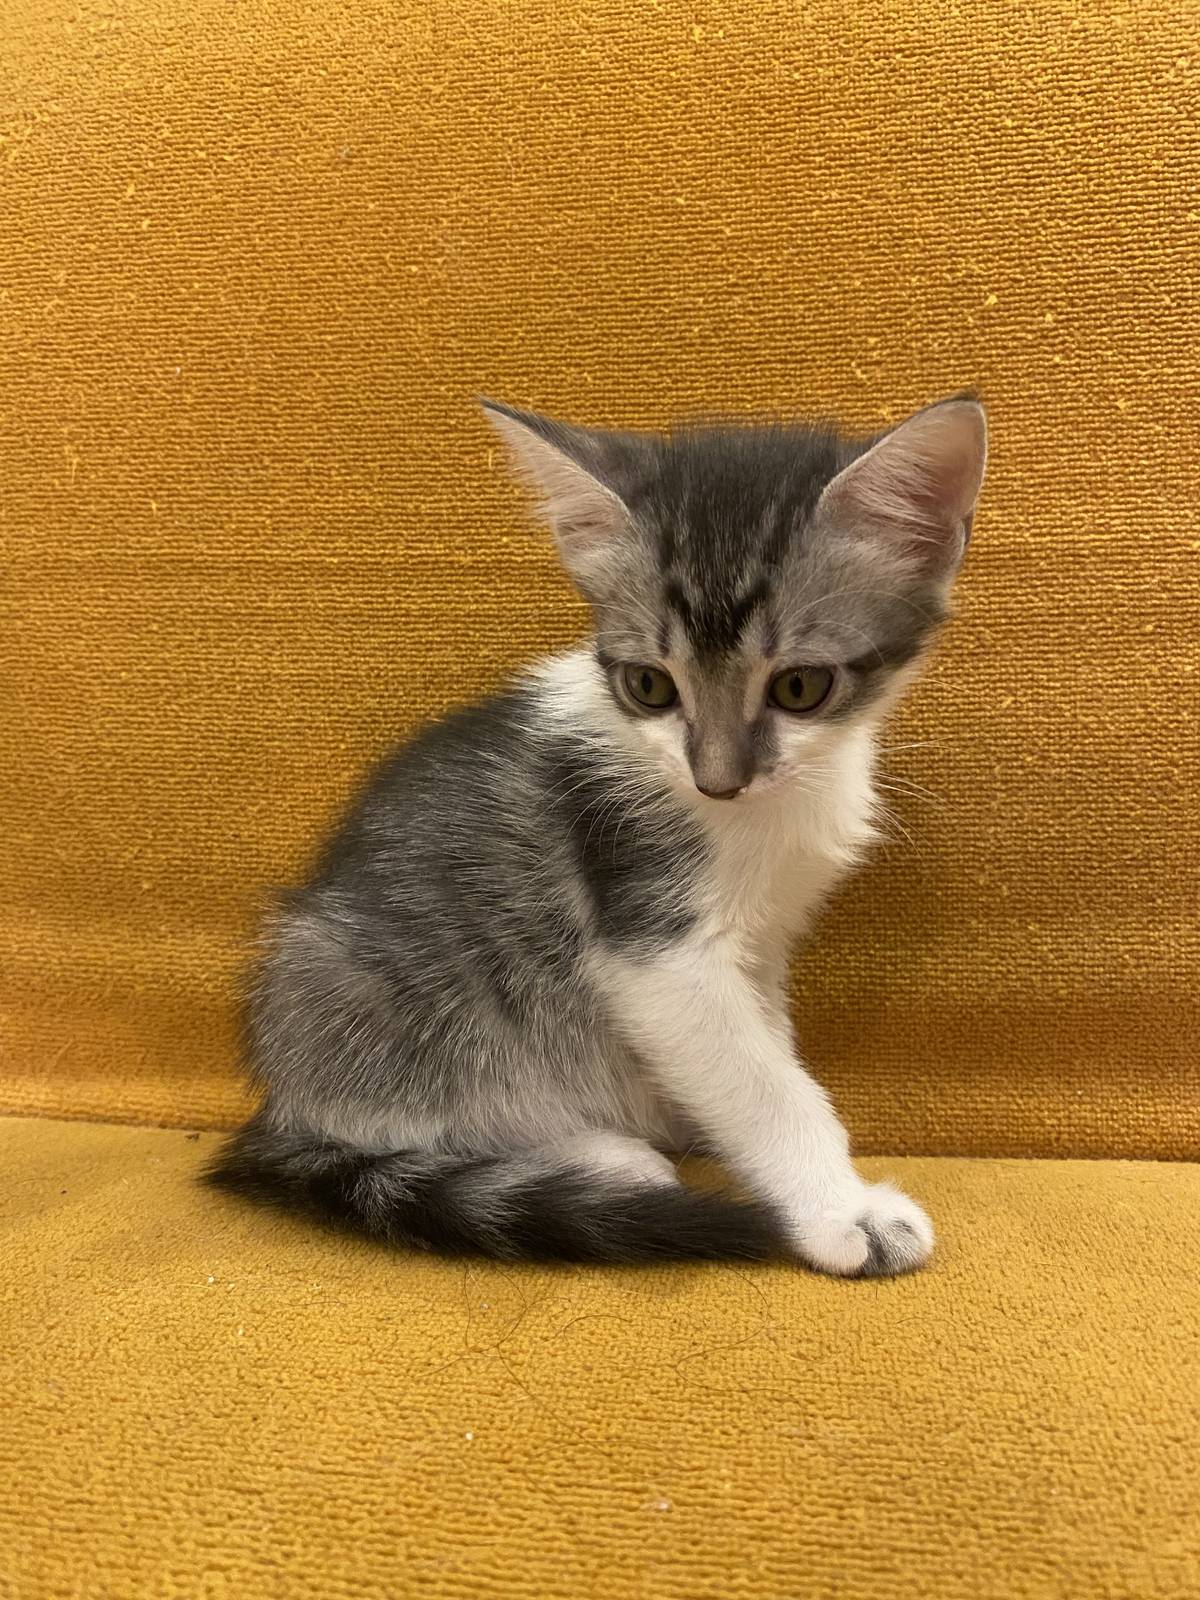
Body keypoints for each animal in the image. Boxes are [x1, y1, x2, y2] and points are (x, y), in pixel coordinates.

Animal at [207, 393, 986, 1274]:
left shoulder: (762, 938)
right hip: (365, 990)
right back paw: (601, 1159)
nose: (717, 780)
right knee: (391, 1120)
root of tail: (279, 1100)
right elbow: (762, 1082)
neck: (763, 811)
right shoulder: (653, 940)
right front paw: (840, 1209)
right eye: (649, 685)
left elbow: (764, 1042)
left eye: (800, 687)